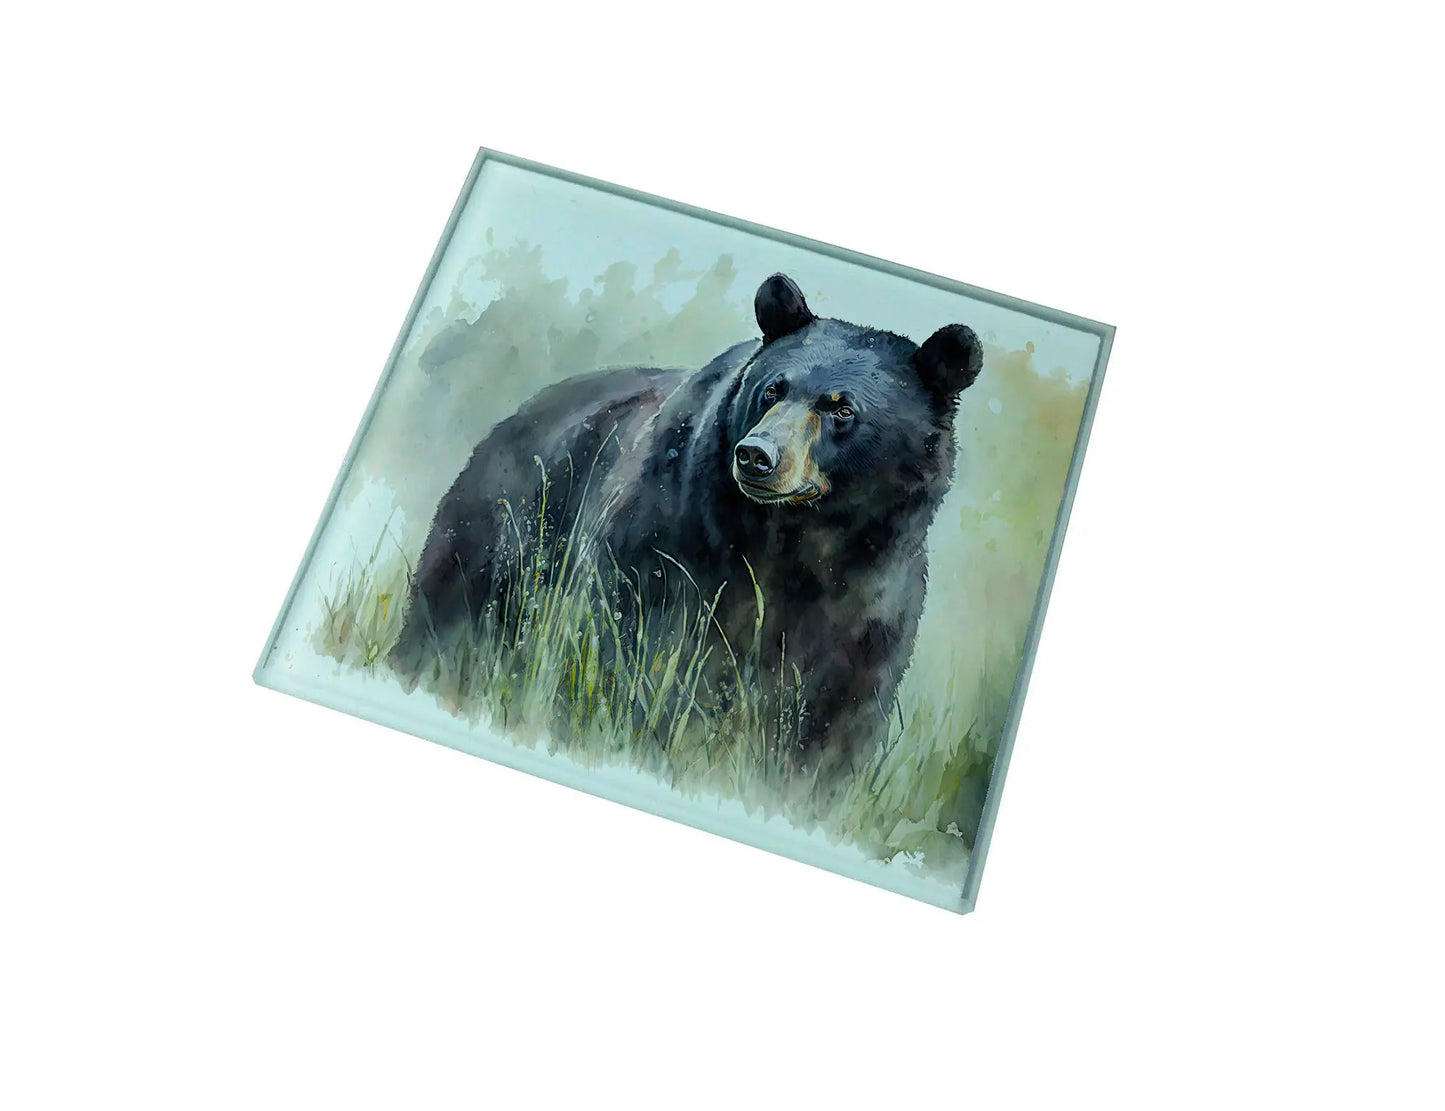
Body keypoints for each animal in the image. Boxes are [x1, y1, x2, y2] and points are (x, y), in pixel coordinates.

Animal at [388, 273, 983, 776]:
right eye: (772, 390)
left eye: (841, 409)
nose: (756, 456)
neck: (796, 541)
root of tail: (523, 410)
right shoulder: (667, 542)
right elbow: (636, 650)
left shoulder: (872, 603)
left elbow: (837, 718)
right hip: (501, 530)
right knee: (446, 612)